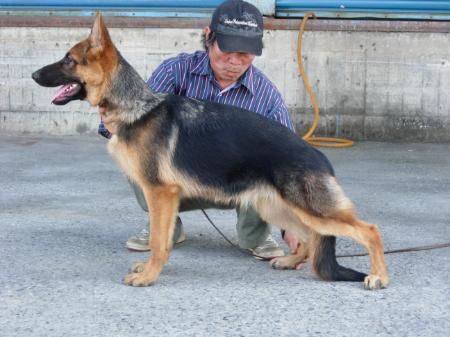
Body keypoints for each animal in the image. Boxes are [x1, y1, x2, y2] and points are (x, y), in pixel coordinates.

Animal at [32, 12, 386, 286]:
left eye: (68, 59)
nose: (33, 74)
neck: (138, 107)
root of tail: (320, 156)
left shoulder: (160, 192)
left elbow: (159, 242)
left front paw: (148, 276)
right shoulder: (162, 196)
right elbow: (160, 239)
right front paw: (149, 269)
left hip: (310, 209)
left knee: (369, 230)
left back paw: (379, 277)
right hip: (275, 206)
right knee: (311, 238)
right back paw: (290, 260)